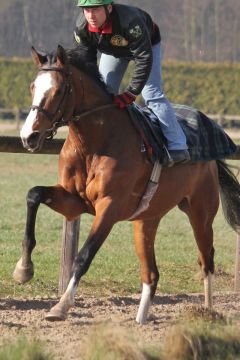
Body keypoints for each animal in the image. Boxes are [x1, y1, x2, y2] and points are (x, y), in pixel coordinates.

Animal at [13, 45, 240, 324]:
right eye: (33, 87)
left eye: (57, 90)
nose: (29, 137)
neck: (93, 143)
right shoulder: (73, 201)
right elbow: (33, 194)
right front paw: (23, 269)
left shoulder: (109, 207)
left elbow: (83, 256)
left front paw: (61, 305)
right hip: (146, 220)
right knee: (151, 273)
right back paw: (141, 319)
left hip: (201, 212)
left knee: (206, 259)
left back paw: (207, 312)